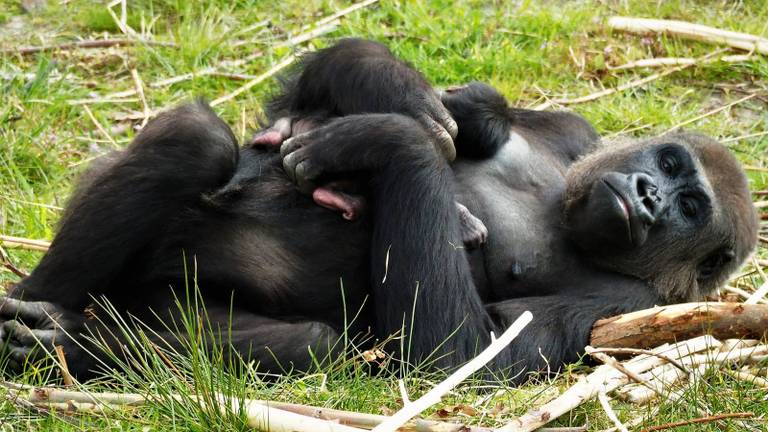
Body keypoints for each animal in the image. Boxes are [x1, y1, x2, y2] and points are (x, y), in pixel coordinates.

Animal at [0, 38, 760, 380]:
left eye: (691, 207)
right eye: (670, 165)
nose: (649, 195)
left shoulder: (626, 306)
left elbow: (460, 356)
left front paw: (390, 139)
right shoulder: (577, 134)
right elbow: (345, 94)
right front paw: (392, 90)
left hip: (153, 299)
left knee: (315, 342)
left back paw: (67, 342)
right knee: (199, 144)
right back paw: (40, 307)